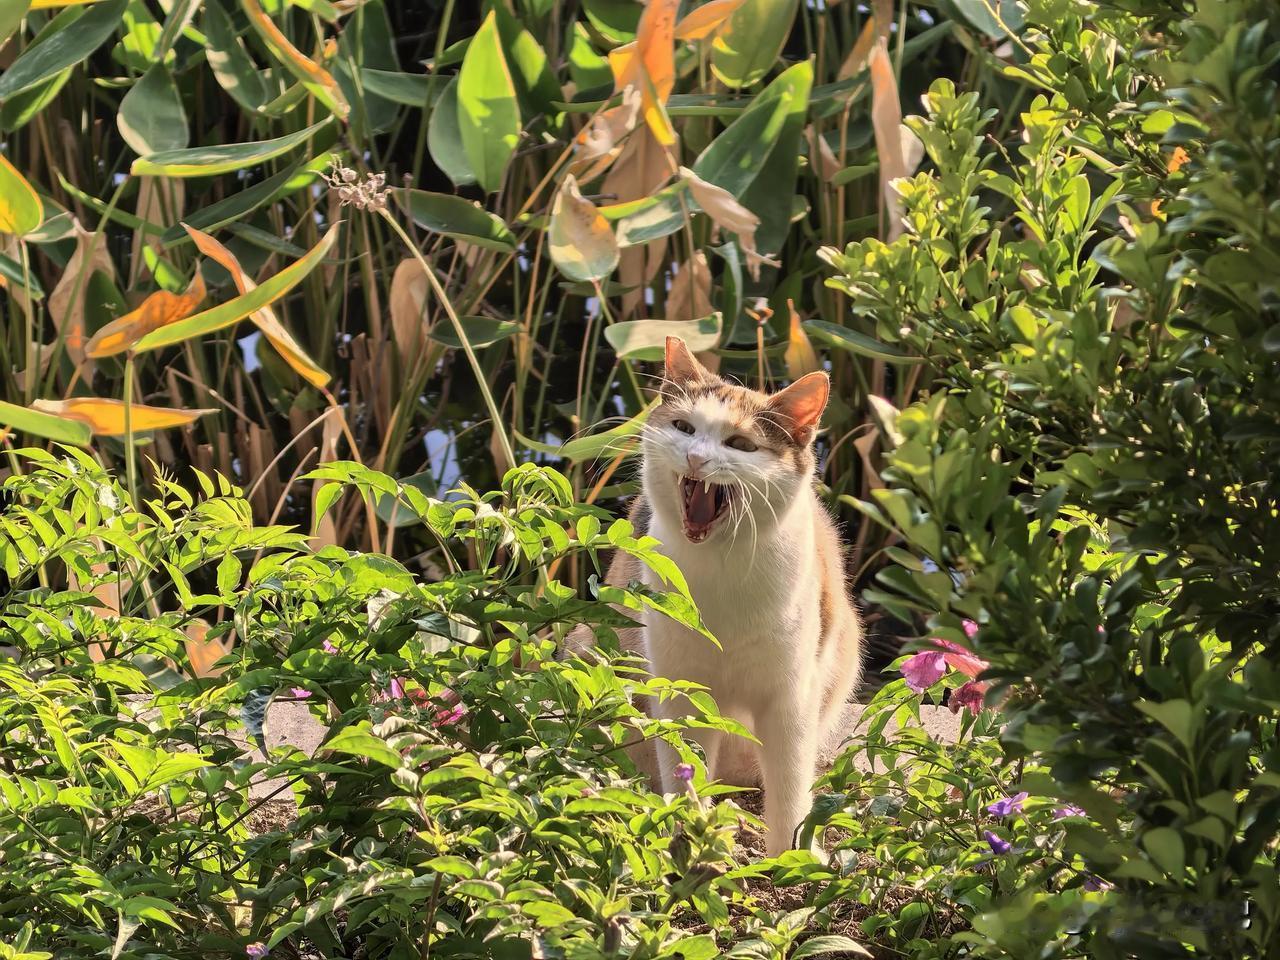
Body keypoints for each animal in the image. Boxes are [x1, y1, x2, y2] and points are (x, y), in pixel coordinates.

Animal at [573, 335, 865, 855]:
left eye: (742, 444)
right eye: (684, 427)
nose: (696, 459)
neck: (721, 568)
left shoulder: (790, 697)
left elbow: (790, 787)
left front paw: (790, 856)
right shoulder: (678, 687)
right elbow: (683, 766)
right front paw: (688, 839)